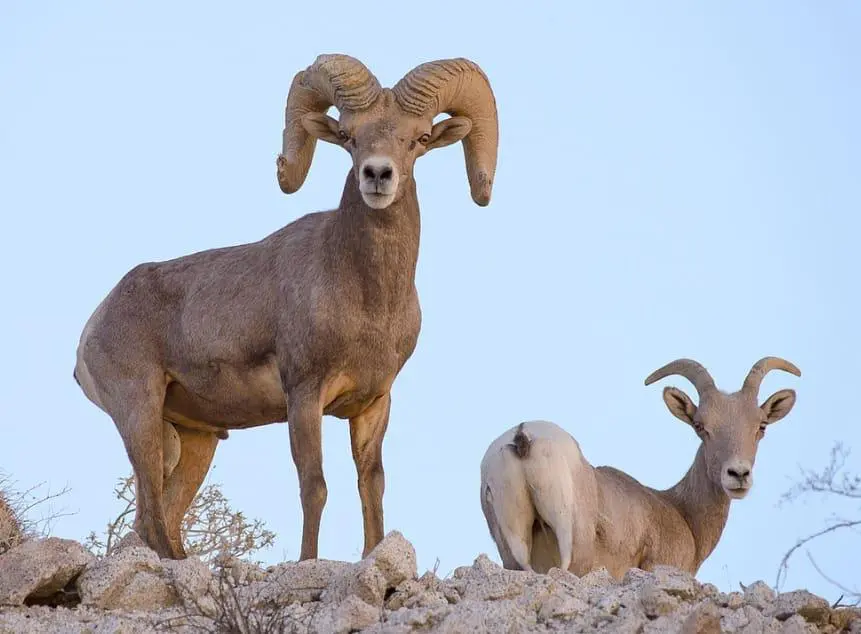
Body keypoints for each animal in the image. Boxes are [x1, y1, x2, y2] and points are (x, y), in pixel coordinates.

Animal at [74, 54, 499, 561]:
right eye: (349, 137)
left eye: (418, 139)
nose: (377, 175)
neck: (368, 303)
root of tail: (92, 329)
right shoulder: (305, 396)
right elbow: (314, 486)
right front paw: (307, 561)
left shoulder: (374, 404)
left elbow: (371, 485)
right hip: (140, 415)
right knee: (153, 521)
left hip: (196, 441)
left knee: (161, 519)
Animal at [479, 357, 800, 578]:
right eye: (700, 426)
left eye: (761, 426)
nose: (738, 474)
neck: (681, 512)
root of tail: (523, 437)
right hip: (570, 544)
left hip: (515, 548)